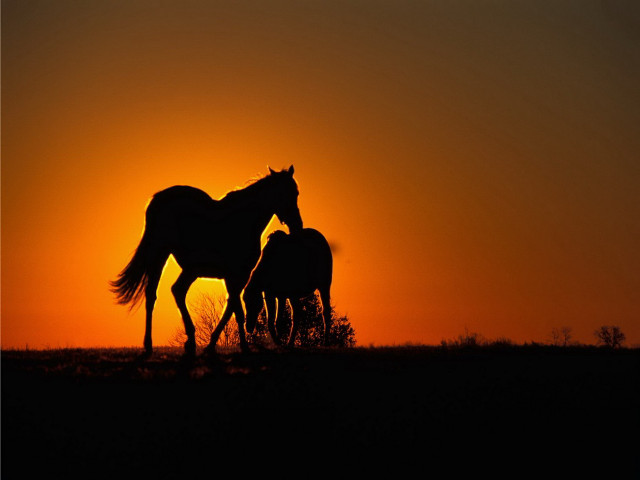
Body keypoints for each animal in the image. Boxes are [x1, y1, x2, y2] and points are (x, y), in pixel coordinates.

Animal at [110, 166, 303, 356]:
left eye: (296, 193)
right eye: (286, 193)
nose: (297, 225)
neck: (244, 221)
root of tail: (157, 199)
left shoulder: (233, 277)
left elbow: (230, 308)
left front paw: (212, 344)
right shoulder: (238, 275)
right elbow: (237, 310)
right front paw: (242, 347)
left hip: (189, 269)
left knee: (175, 291)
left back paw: (189, 342)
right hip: (161, 254)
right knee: (153, 294)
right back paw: (151, 344)